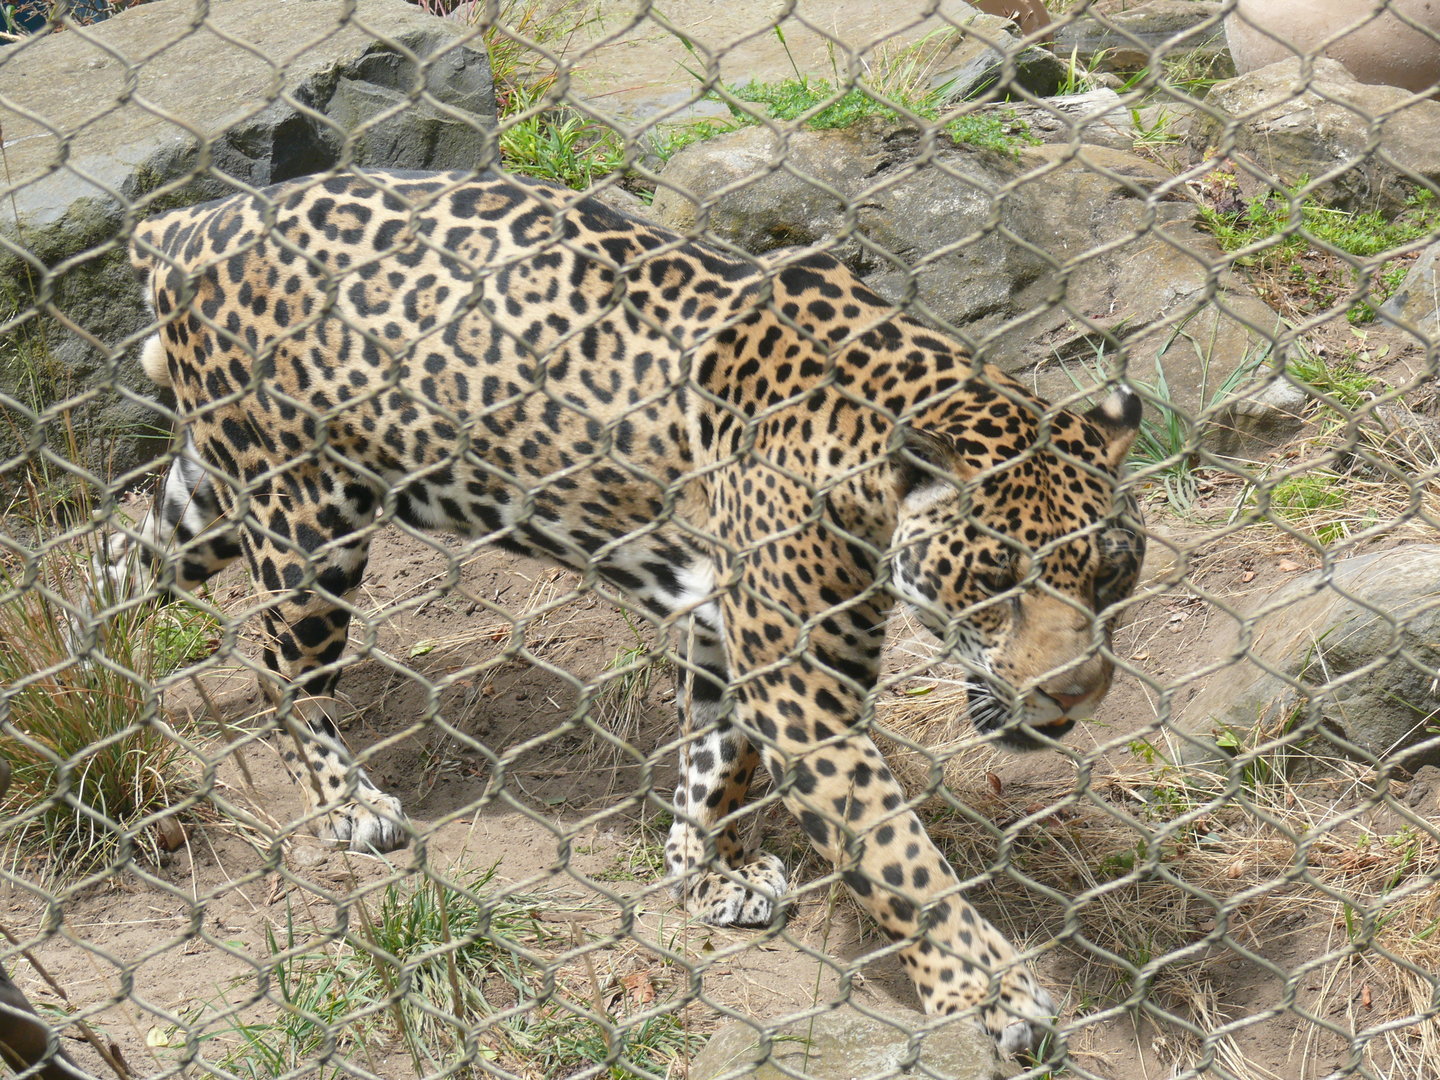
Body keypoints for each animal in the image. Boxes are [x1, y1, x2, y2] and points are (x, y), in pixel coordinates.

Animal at [103, 169, 1144, 1056]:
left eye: (1114, 575)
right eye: (997, 578)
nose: (1075, 695)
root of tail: (189, 223)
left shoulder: (729, 635)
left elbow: (717, 761)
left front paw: (709, 872)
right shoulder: (804, 687)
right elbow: (895, 854)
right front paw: (990, 994)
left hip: (216, 489)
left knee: (119, 560)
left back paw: (89, 688)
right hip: (306, 516)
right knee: (286, 673)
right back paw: (345, 804)